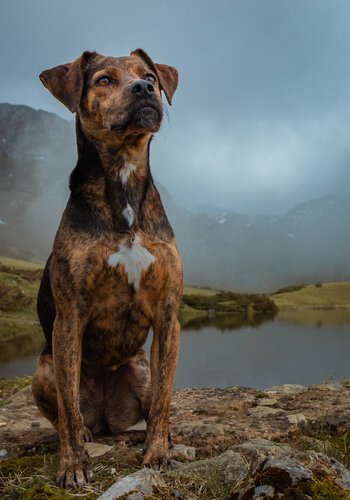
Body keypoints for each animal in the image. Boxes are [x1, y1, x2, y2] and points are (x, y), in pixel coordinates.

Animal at [31, 47, 183, 488]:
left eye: (149, 76)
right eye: (103, 80)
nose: (145, 89)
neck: (124, 181)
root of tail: (105, 416)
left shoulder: (168, 316)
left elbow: (164, 399)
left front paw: (157, 451)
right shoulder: (69, 319)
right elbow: (67, 411)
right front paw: (73, 466)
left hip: (140, 370)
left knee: (153, 403)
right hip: (43, 370)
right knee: (69, 414)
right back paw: (83, 433)